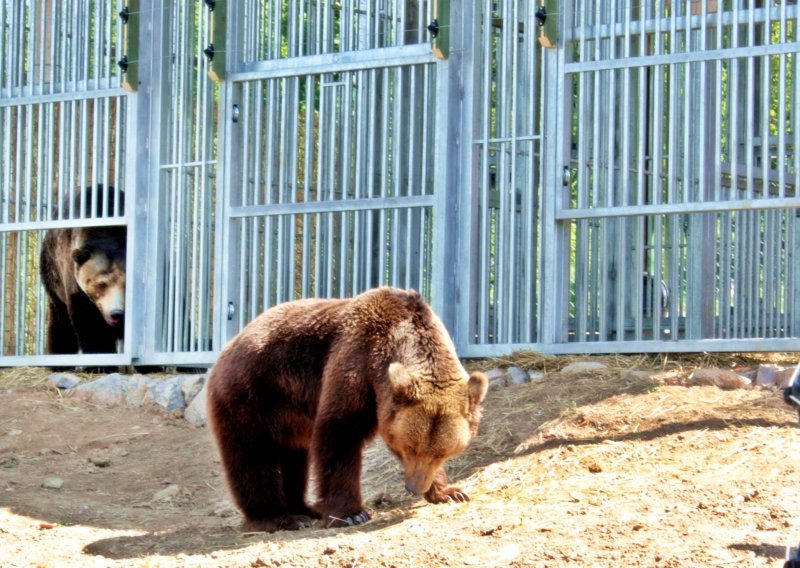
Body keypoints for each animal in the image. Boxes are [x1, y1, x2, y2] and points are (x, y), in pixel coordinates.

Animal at [39, 187, 126, 356]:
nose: (117, 313)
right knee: (61, 325)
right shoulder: (75, 284)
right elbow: (89, 324)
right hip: (52, 277)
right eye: (101, 283)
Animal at [206, 288, 488, 532]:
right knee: (253, 455)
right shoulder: (356, 361)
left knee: (294, 456)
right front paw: (350, 514)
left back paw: (304, 509)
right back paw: (278, 518)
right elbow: (339, 434)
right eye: (409, 447)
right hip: (252, 394)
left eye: (442, 453)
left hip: (288, 415)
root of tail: (229, 344)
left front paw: (450, 492)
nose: (414, 487)